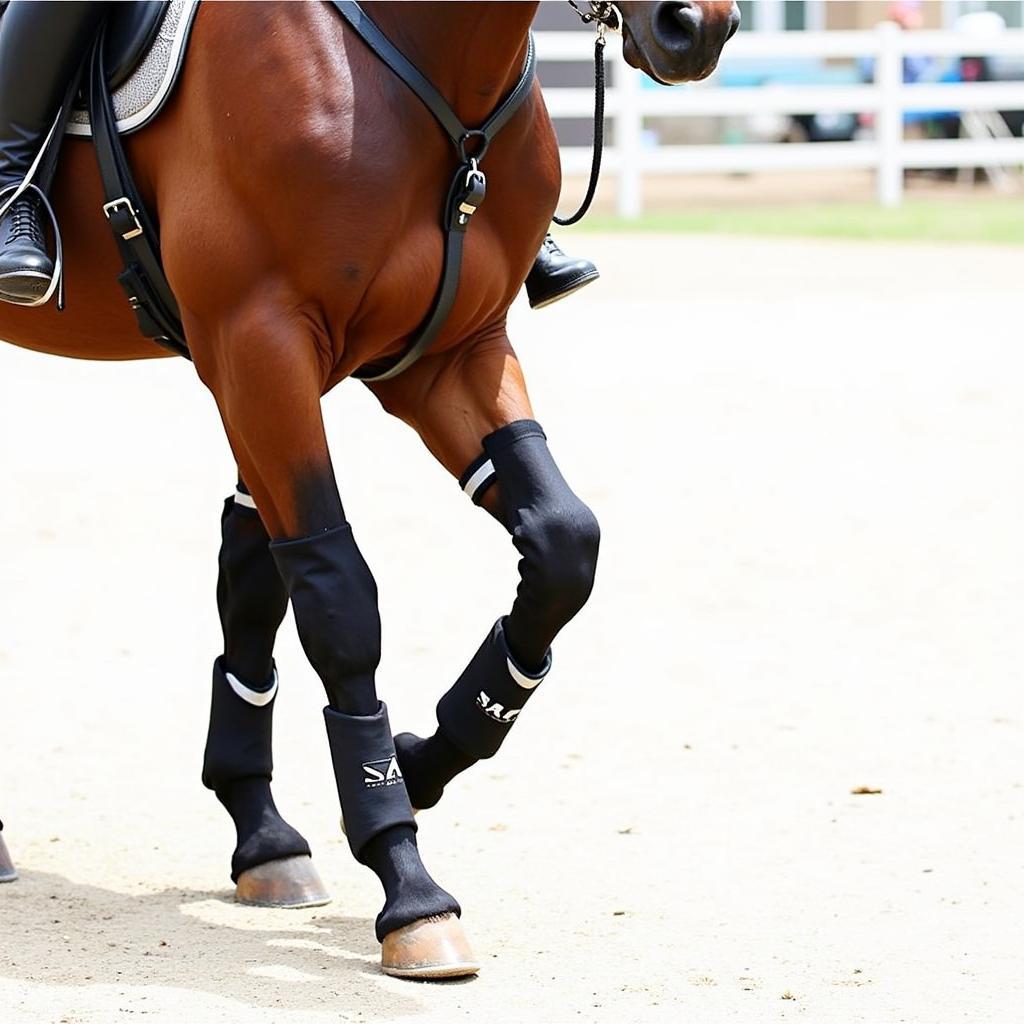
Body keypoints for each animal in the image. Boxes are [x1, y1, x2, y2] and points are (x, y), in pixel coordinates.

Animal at [0, 0, 741, 974]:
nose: (696, 29)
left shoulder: (443, 356)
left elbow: (556, 546)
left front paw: (370, 784)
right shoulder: (258, 346)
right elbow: (334, 597)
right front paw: (409, 884)